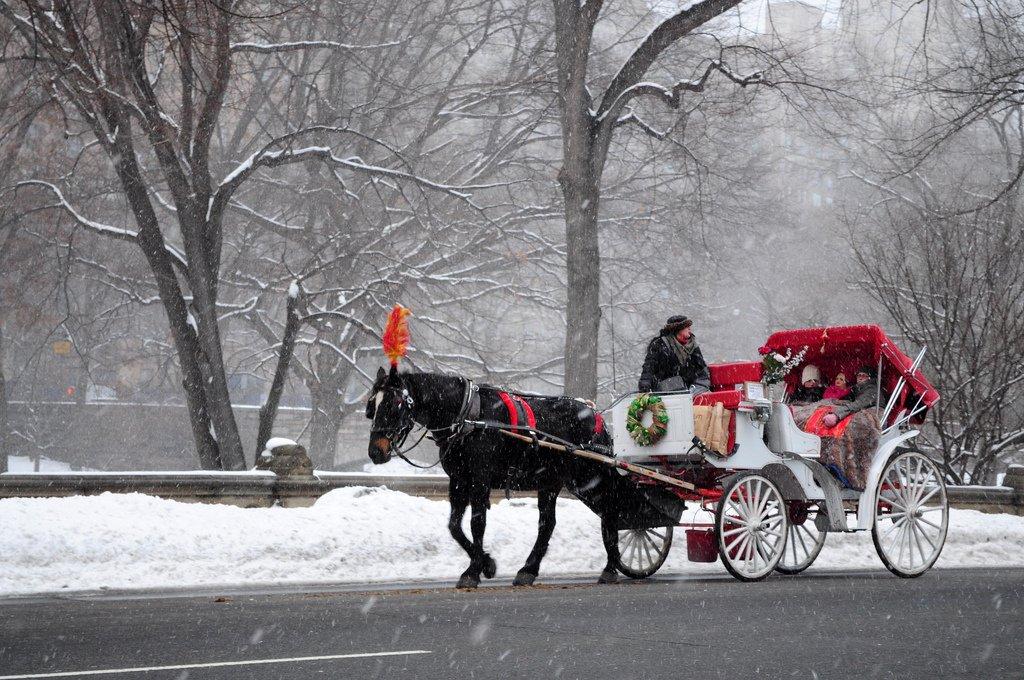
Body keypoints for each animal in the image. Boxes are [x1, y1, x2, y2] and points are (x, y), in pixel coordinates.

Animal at [364, 366, 626, 589]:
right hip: (552, 481)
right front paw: (486, 564)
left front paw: (473, 571)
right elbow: (454, 526)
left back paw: (611, 567)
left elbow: (477, 523)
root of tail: (596, 415)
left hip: (590, 479)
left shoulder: (480, 479)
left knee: (610, 510)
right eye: (372, 407)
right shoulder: (458, 479)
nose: (375, 451)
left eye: (395, 405)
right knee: (548, 523)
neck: (469, 416)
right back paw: (528, 570)